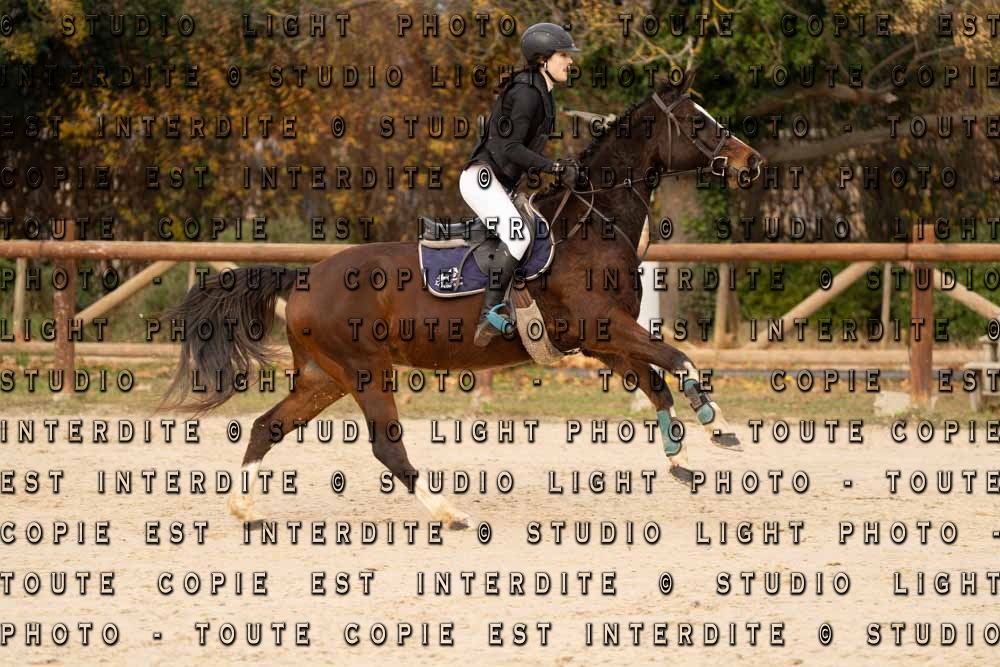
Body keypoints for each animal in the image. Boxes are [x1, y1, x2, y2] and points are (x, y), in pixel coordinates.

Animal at [163, 70, 762, 529]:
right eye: (696, 122)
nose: (751, 161)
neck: (595, 223)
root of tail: (305, 277)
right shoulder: (604, 326)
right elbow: (679, 360)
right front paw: (717, 421)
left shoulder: (600, 341)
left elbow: (656, 381)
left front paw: (682, 456)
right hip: (364, 370)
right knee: (386, 446)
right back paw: (448, 513)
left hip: (323, 376)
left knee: (268, 426)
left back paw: (244, 508)